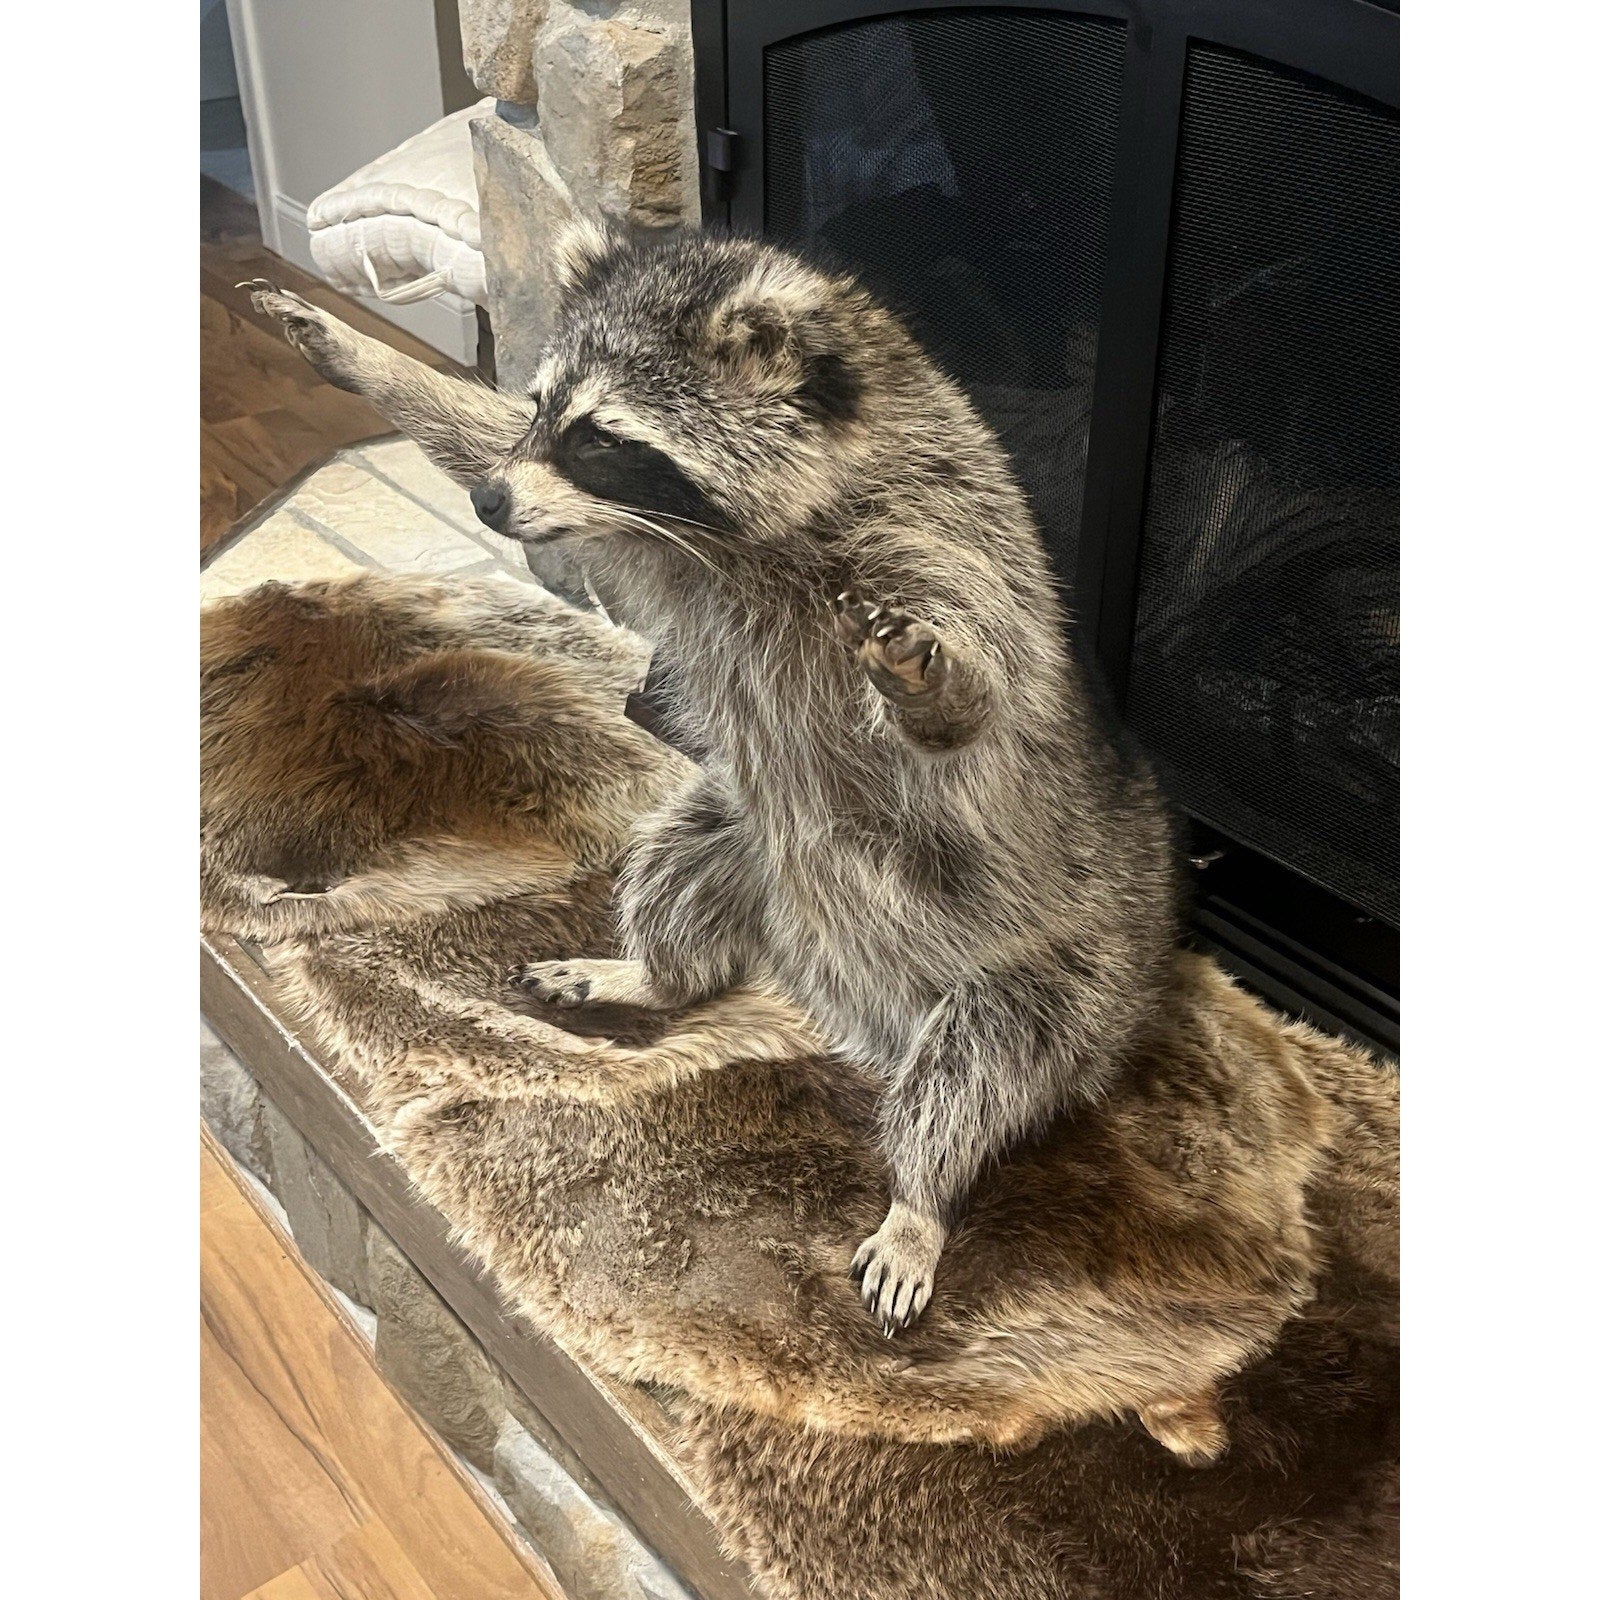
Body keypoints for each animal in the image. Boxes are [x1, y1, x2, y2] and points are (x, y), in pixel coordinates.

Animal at [248, 225, 1178, 1336]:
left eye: (600, 436)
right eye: (541, 407)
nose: (488, 505)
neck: (739, 539)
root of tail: (850, 1006)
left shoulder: (941, 548)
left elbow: (972, 708)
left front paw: (934, 685)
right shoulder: (648, 540)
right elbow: (469, 427)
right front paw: (353, 350)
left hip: (1061, 980)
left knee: (973, 1072)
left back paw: (921, 1194)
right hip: (742, 826)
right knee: (677, 858)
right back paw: (654, 970)